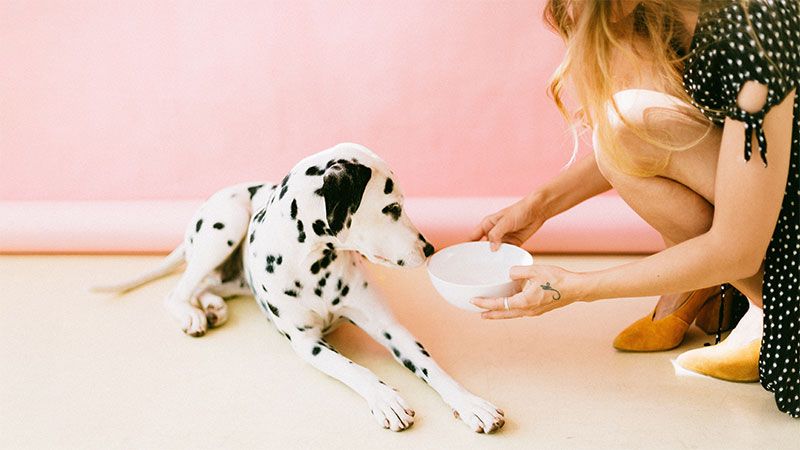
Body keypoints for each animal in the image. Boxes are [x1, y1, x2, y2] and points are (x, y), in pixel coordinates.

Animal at [94, 143, 504, 432]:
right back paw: (191, 316)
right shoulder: (308, 343)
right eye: (391, 208)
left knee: (203, 285)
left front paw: (471, 403)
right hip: (226, 225)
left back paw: (210, 307)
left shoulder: (392, 329)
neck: (314, 264)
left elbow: (431, 367)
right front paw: (385, 398)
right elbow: (354, 369)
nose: (429, 248)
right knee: (177, 291)